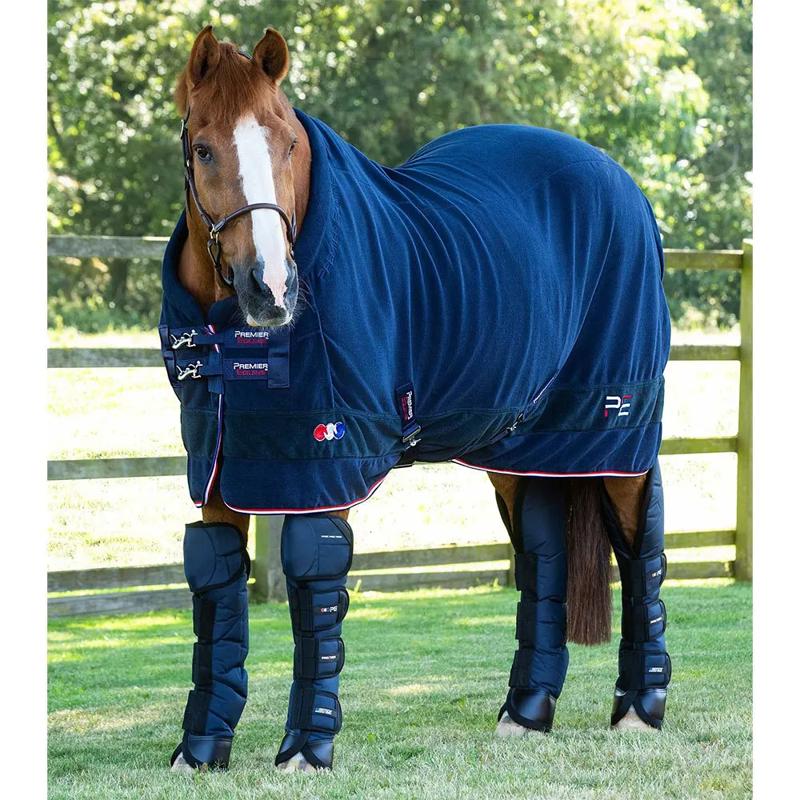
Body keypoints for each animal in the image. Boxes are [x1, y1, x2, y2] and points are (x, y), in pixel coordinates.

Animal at [161, 25, 671, 774]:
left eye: (286, 143)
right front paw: (200, 750)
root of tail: (620, 180)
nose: (271, 289)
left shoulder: (325, 458)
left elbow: (314, 578)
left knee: (639, 545)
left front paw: (306, 750)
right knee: (542, 550)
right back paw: (526, 713)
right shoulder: (221, 464)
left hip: (615, 429)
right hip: (520, 439)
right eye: (203, 148)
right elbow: (216, 580)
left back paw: (640, 708)